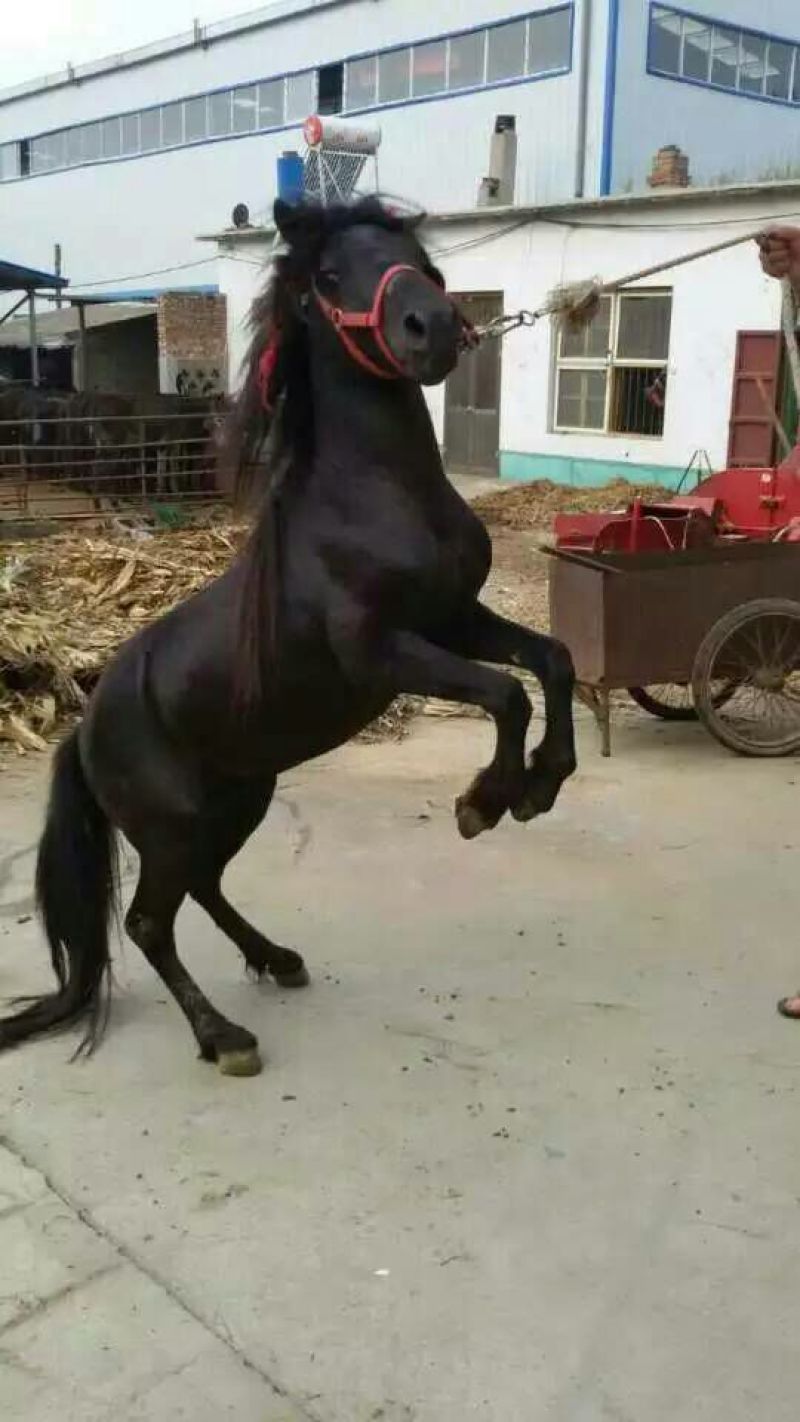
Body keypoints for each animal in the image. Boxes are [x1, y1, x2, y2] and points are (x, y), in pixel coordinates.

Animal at [0, 197, 576, 1077]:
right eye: (330, 276)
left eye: (424, 262)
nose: (432, 328)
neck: (373, 499)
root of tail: (84, 731)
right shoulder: (384, 651)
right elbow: (506, 692)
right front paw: (485, 802)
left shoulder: (458, 619)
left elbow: (553, 660)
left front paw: (542, 784)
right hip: (172, 824)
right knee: (148, 922)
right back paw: (223, 1038)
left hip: (240, 798)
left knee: (202, 890)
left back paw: (275, 960)